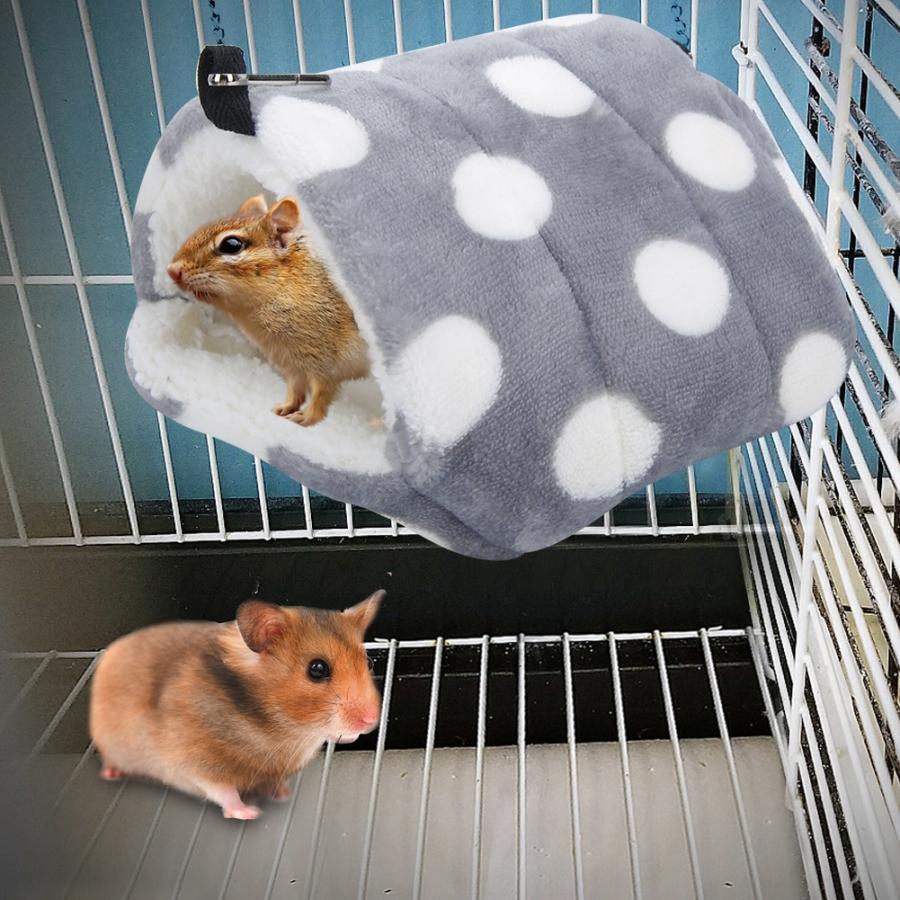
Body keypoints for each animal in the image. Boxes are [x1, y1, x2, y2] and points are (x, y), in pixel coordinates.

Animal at [89, 590, 384, 820]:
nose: (371, 720)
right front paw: (249, 813)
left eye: (368, 661)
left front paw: (282, 794)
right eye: (318, 669)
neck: (283, 730)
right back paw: (111, 773)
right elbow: (222, 790)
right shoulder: (193, 760)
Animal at [166, 195, 370, 427]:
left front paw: (306, 417)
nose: (171, 270)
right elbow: (295, 390)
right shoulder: (292, 366)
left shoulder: (325, 366)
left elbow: (320, 395)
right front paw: (285, 408)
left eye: (231, 245)